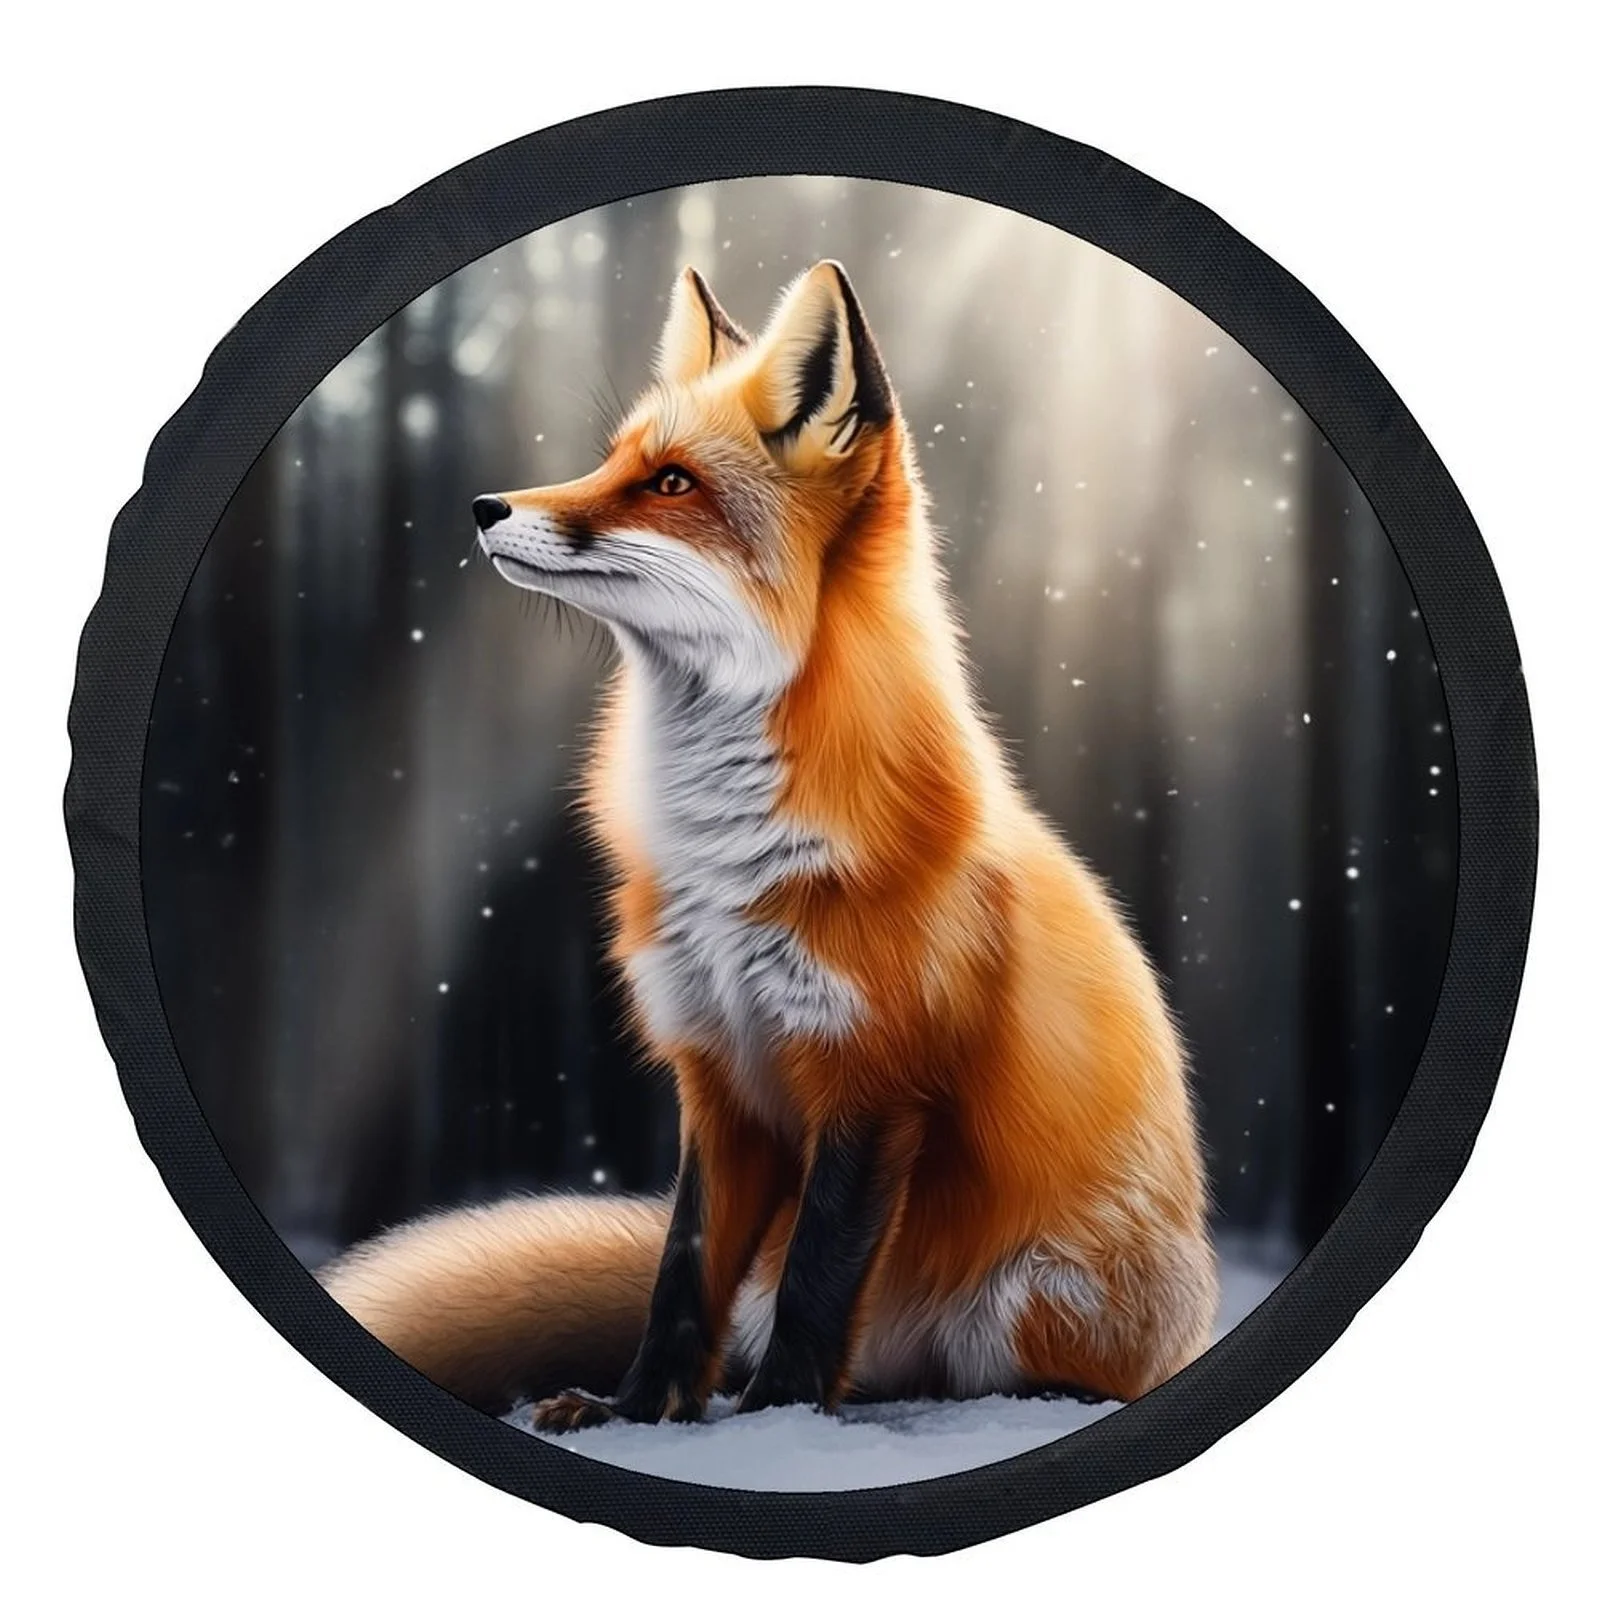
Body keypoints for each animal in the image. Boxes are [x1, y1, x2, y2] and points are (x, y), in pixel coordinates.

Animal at [319, 260, 1220, 1431]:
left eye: (670, 484)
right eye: (612, 459)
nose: (484, 508)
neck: (729, 855)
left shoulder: (873, 1077)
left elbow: (819, 1281)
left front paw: (776, 1417)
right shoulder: (717, 1075)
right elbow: (679, 1275)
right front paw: (638, 1410)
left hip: (1034, 1296)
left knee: (1020, 1374)